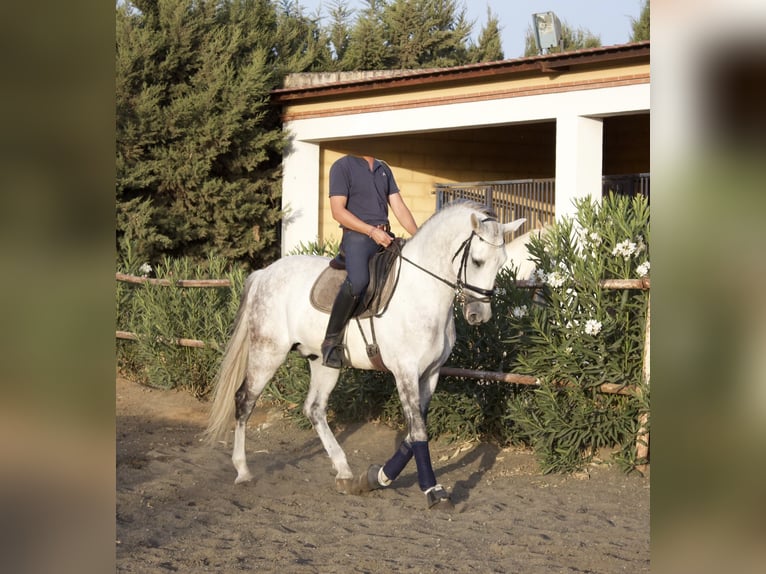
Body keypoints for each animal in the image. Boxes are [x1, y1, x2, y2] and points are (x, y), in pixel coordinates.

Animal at [204, 201, 525, 509]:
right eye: (477, 261)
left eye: (501, 263)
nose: (478, 315)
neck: (422, 291)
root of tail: (265, 273)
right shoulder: (405, 372)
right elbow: (419, 432)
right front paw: (432, 491)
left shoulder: (430, 373)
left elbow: (413, 431)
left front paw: (376, 478)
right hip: (268, 352)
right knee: (245, 400)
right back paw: (243, 470)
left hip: (323, 362)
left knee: (314, 408)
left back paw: (345, 471)